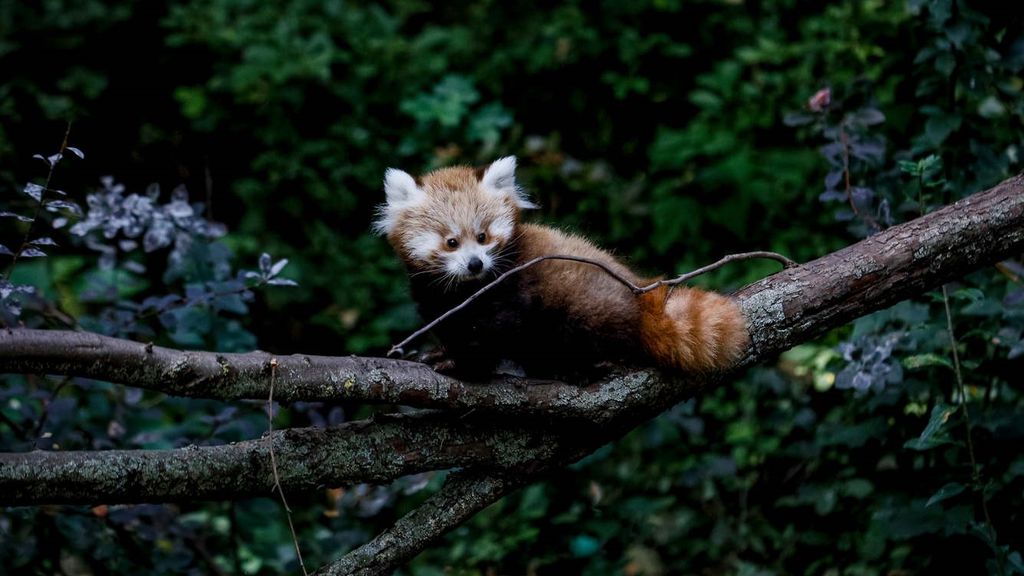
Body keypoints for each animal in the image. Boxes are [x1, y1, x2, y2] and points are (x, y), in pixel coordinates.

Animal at [372, 155, 749, 377]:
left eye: (482, 236)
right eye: (451, 242)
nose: (475, 264)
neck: (466, 289)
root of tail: (641, 297)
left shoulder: (513, 288)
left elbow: (498, 330)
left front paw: (463, 362)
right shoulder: (434, 296)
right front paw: (443, 351)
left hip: (585, 304)